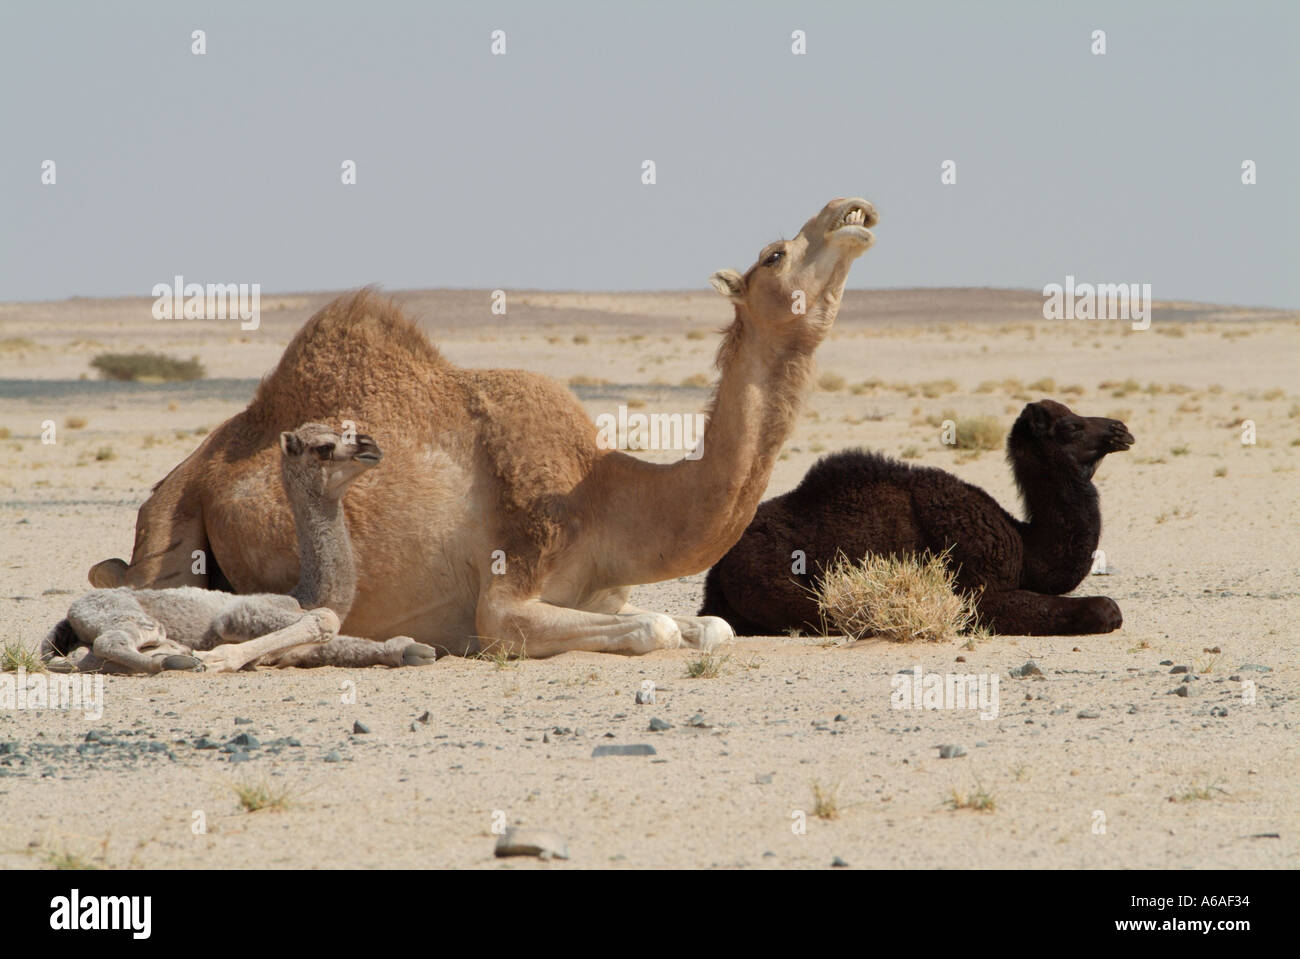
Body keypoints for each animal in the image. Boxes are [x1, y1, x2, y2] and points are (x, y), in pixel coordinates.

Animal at [89, 194, 883, 657]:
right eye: (775, 254)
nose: (852, 208)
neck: (604, 494)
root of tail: (191, 467)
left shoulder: (606, 591)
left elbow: (710, 626)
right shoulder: (508, 591)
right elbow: (650, 628)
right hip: (171, 525)